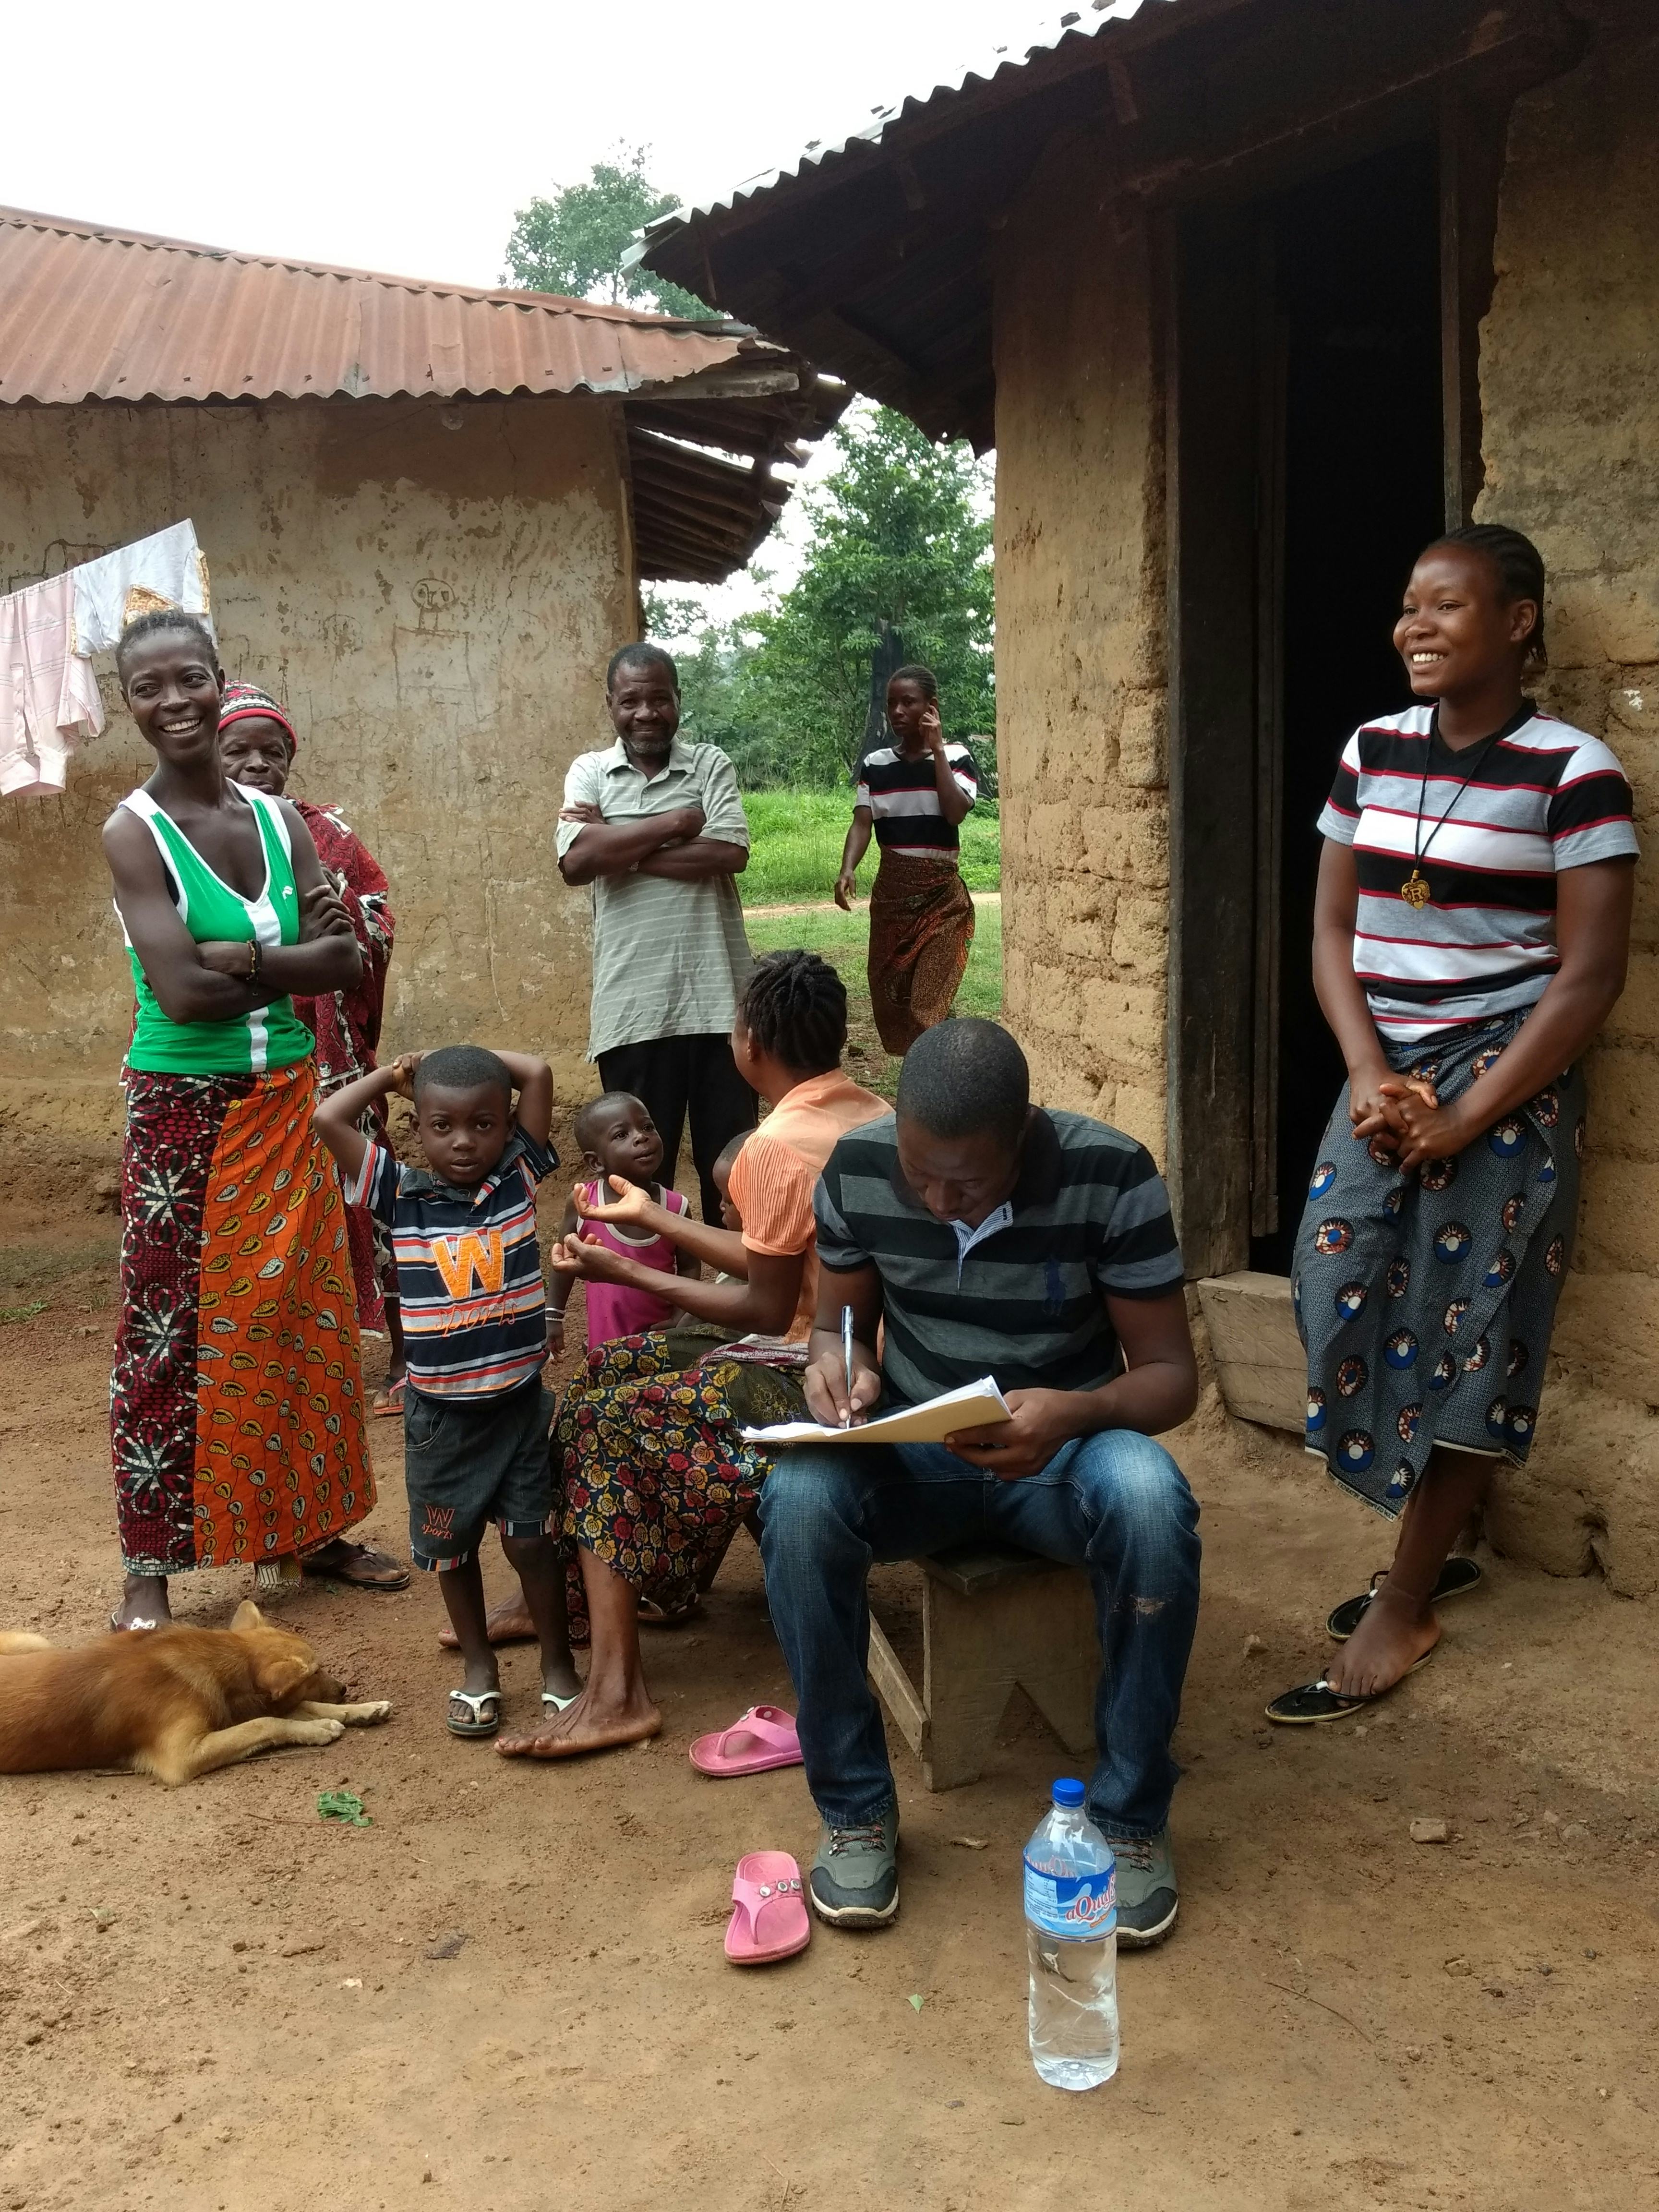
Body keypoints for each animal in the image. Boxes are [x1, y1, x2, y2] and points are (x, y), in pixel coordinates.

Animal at [0, 1602, 391, 1786]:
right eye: (315, 1671)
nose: (345, 1689)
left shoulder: (238, 1706)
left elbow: (298, 1708)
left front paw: (363, 1709)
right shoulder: (182, 1756)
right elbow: (266, 1723)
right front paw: (318, 1729)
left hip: (39, 1643)